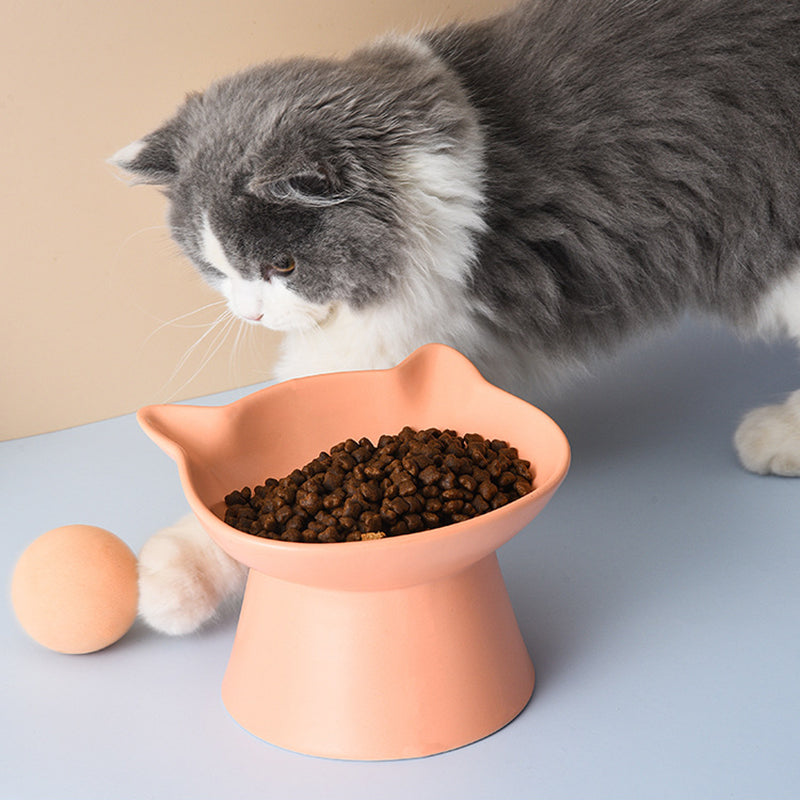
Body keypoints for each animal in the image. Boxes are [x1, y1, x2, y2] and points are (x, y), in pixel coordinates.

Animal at [114, 0, 800, 636]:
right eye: (214, 266)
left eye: (283, 265)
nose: (253, 315)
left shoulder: (385, 335)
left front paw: (174, 575)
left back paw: (775, 436)